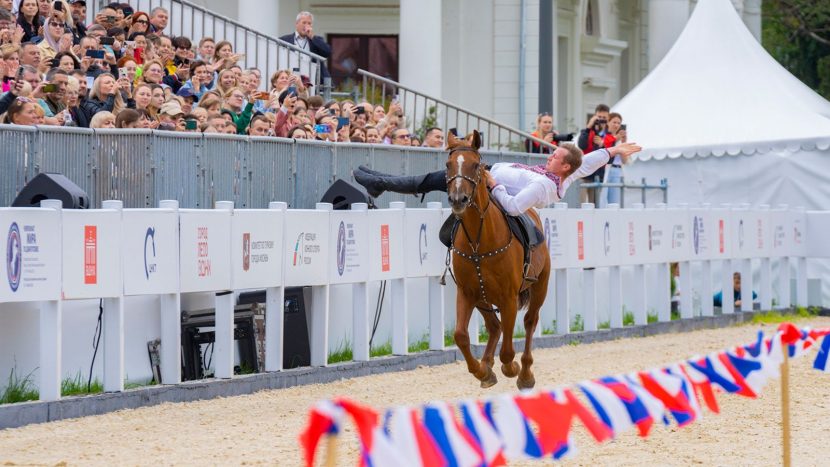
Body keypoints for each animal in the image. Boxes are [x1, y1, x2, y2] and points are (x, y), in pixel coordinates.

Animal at [448, 130, 552, 390]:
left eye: (476, 165)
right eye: (448, 164)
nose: (458, 198)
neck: (479, 242)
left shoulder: (509, 297)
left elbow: (507, 351)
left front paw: (511, 368)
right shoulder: (466, 291)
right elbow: (461, 335)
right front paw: (481, 371)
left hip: (540, 287)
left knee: (529, 321)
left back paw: (524, 372)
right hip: (483, 296)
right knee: (494, 327)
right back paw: (486, 364)